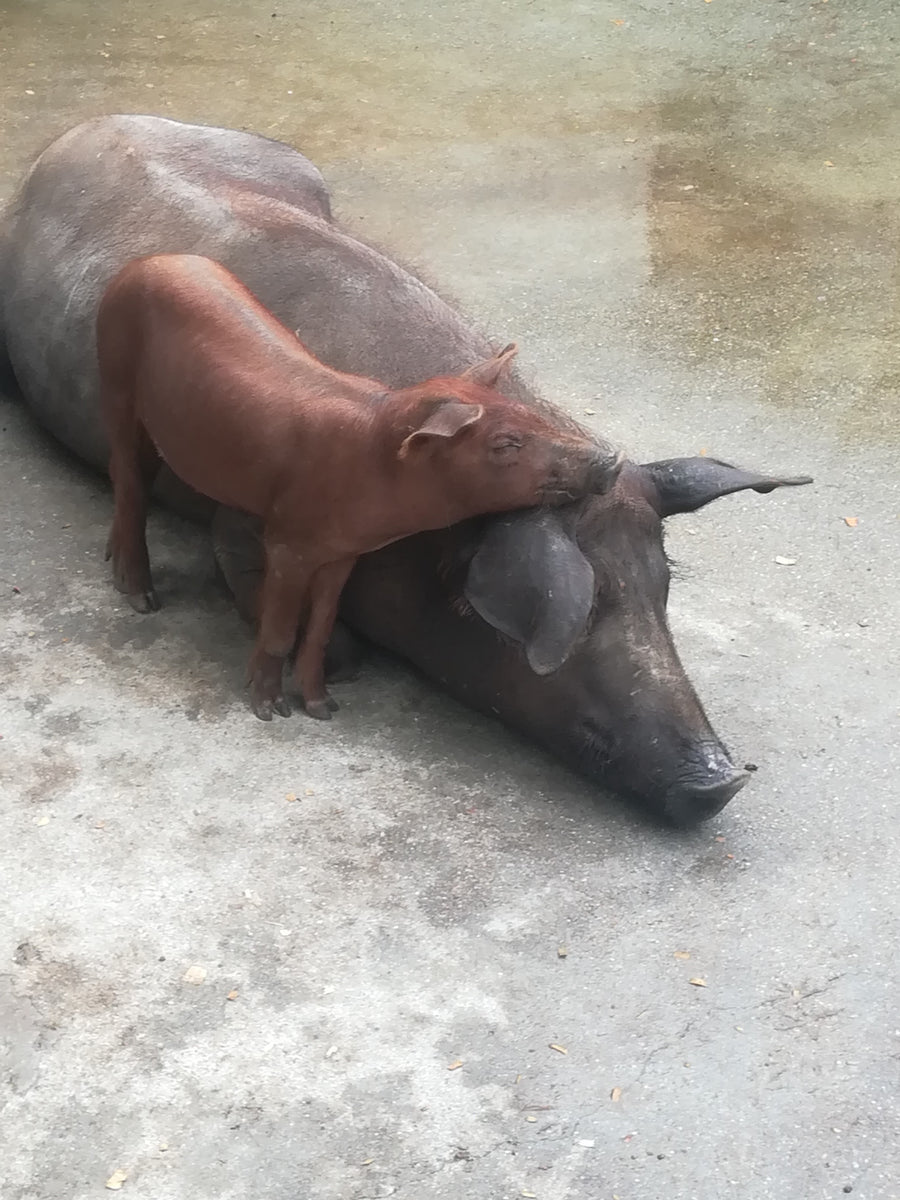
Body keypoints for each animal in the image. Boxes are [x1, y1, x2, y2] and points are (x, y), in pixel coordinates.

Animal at [97, 252, 621, 719]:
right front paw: (269, 710)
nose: (612, 459)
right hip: (116, 379)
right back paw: (142, 598)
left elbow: (321, 627)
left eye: (530, 415)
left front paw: (323, 709)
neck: (372, 470)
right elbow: (280, 628)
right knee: (126, 481)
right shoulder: (286, 539)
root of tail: (148, 262)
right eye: (505, 443)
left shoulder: (344, 553)